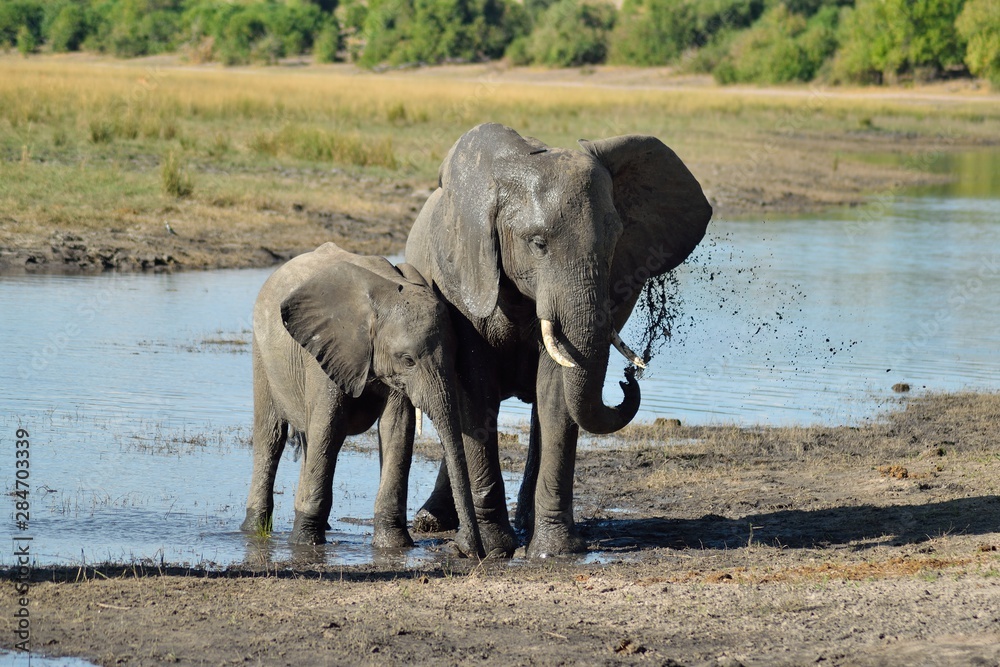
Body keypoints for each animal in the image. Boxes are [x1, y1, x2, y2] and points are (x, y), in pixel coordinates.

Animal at [241, 241, 484, 557]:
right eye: (408, 360)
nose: (463, 548)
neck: (386, 292)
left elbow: (397, 429)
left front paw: (393, 545)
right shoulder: (326, 353)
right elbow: (329, 429)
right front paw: (305, 544)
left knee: (306, 439)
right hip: (262, 352)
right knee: (271, 437)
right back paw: (254, 530)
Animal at [392, 122, 711, 558]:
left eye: (616, 239)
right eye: (538, 244)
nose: (628, 378)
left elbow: (558, 393)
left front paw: (554, 550)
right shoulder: (461, 280)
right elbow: (475, 392)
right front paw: (494, 549)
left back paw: (522, 524)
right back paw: (433, 522)